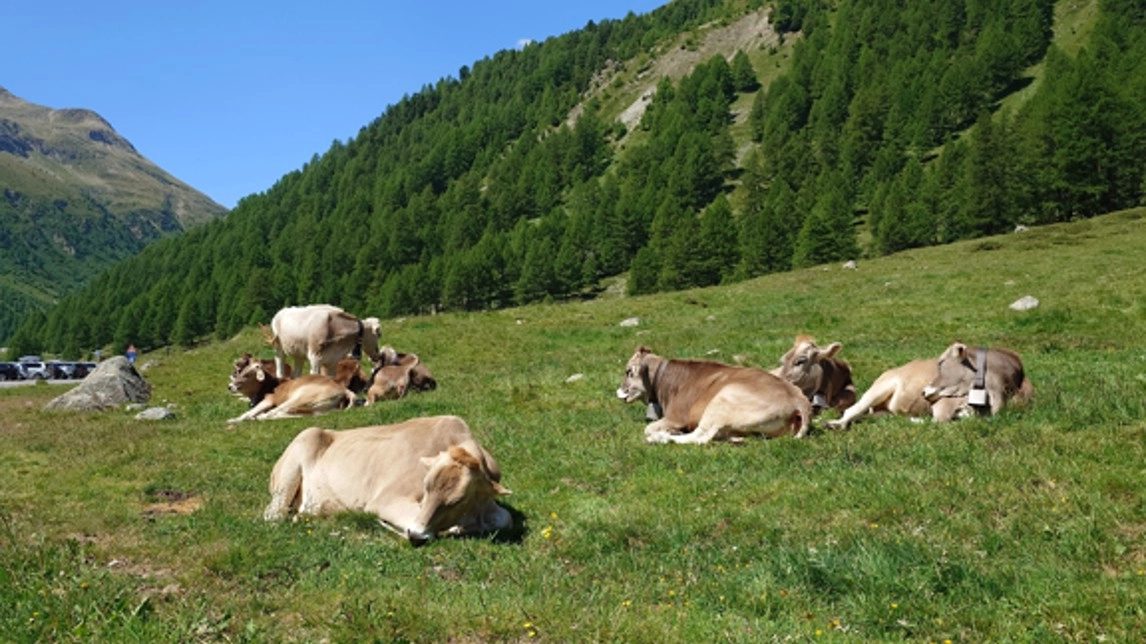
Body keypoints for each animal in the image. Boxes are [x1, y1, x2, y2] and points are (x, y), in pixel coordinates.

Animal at [227, 360, 355, 423]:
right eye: (239, 372)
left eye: (247, 375)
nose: (230, 386)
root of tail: (343, 389)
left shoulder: (268, 400)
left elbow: (249, 412)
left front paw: (234, 420)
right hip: (316, 409)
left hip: (299, 397)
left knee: (272, 413)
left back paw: (258, 417)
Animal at [263, 415, 512, 546]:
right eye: (425, 486)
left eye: (458, 501)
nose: (416, 534)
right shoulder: (386, 499)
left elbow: (504, 518)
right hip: (297, 455)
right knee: (274, 516)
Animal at [616, 345, 812, 444]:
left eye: (628, 371)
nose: (618, 391)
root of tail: (798, 400)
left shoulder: (676, 417)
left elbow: (648, 428)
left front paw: (664, 432)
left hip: (721, 401)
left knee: (700, 437)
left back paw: (661, 438)